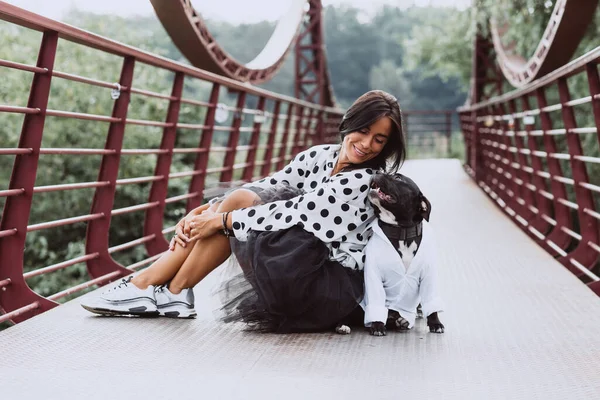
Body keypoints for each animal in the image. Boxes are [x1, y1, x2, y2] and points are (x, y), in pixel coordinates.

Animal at [358, 172, 442, 334]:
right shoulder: (373, 275)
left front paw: (435, 323)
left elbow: (431, 302)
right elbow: (376, 302)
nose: (376, 172)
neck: (402, 232)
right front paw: (377, 325)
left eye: (397, 178)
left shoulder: (428, 275)